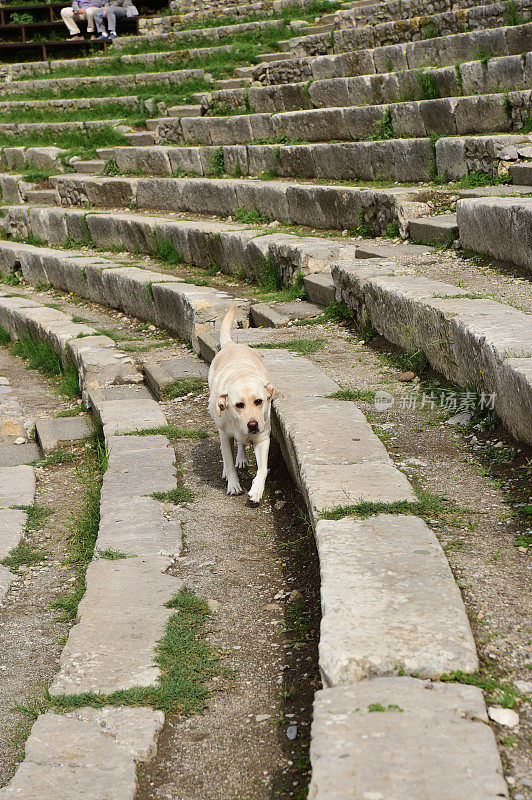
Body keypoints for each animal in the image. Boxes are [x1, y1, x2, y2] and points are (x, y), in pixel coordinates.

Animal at [208, 304, 274, 504]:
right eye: (239, 405)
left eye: (259, 401)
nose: (252, 424)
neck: (241, 373)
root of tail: (231, 344)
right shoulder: (225, 434)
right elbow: (228, 462)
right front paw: (233, 485)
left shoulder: (262, 438)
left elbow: (263, 468)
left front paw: (257, 490)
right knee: (226, 451)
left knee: (241, 444)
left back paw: (242, 458)